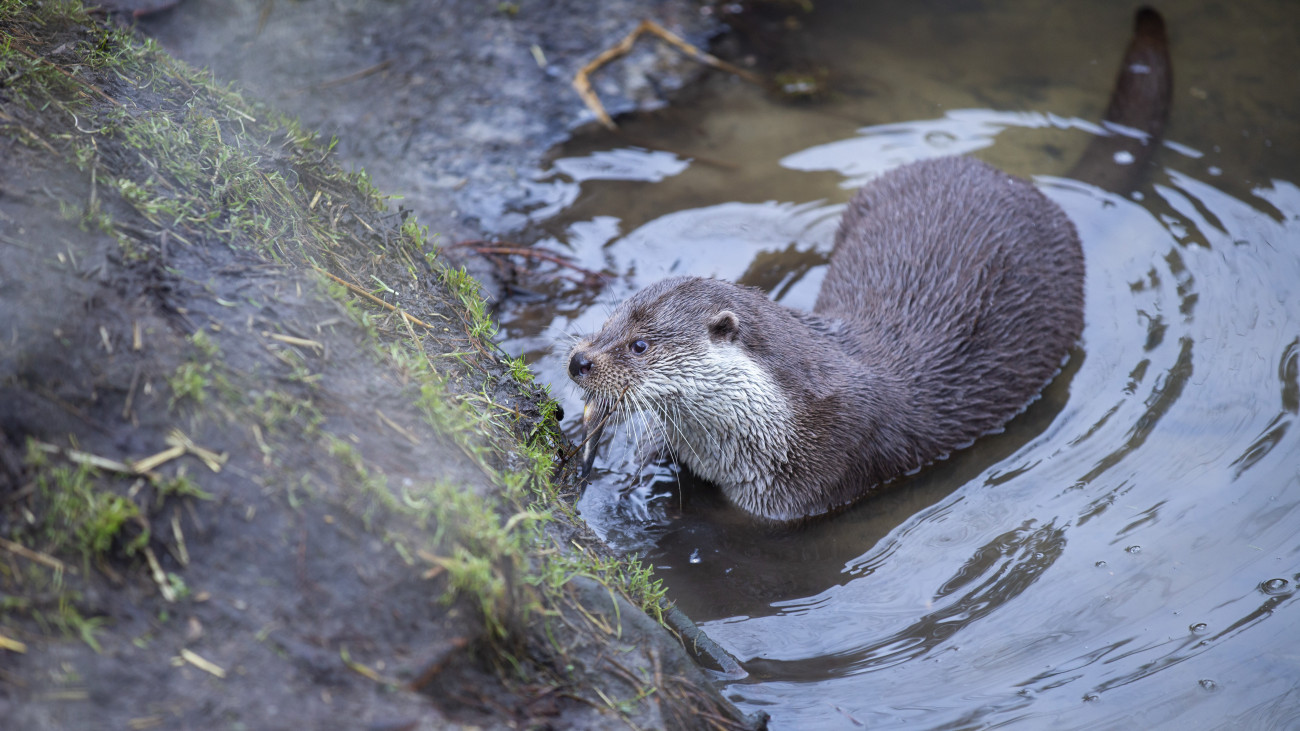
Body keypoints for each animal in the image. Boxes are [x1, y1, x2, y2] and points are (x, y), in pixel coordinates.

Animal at [564, 5, 1175, 517]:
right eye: (606, 324)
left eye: (640, 345)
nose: (579, 362)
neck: (785, 418)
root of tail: (1026, 184)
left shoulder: (809, 481)